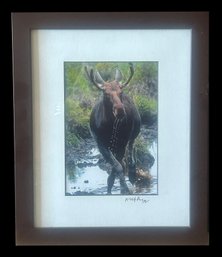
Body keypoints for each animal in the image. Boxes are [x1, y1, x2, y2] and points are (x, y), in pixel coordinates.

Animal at [85, 63, 140, 193]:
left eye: (121, 92)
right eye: (106, 94)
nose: (120, 110)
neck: (109, 126)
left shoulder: (122, 141)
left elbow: (117, 166)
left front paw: (124, 187)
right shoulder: (100, 143)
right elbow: (117, 166)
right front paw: (119, 186)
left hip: (135, 132)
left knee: (131, 150)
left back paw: (132, 168)